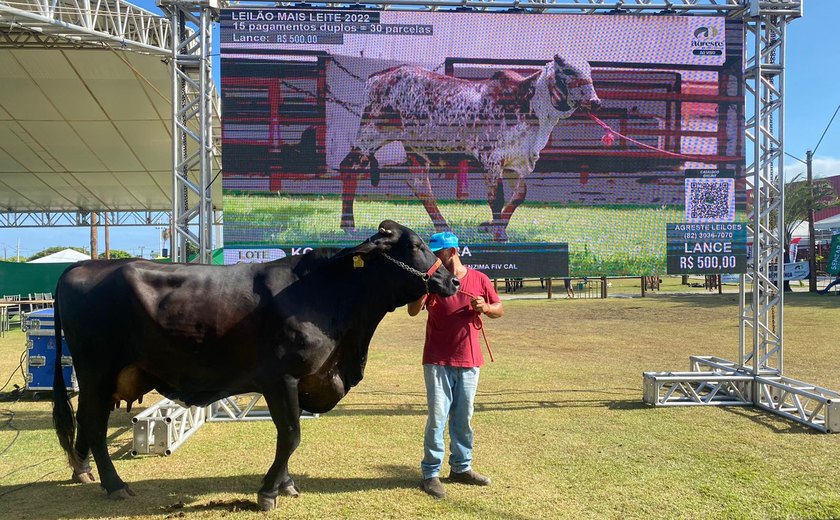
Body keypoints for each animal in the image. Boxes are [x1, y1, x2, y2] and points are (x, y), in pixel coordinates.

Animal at [50, 220, 460, 512]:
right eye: (417, 245)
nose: (453, 280)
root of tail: (81, 266)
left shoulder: (297, 381)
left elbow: (288, 437)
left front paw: (286, 484)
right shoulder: (281, 378)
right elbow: (291, 435)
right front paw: (268, 492)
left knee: (86, 425)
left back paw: (84, 472)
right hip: (96, 371)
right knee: (92, 426)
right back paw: (115, 484)